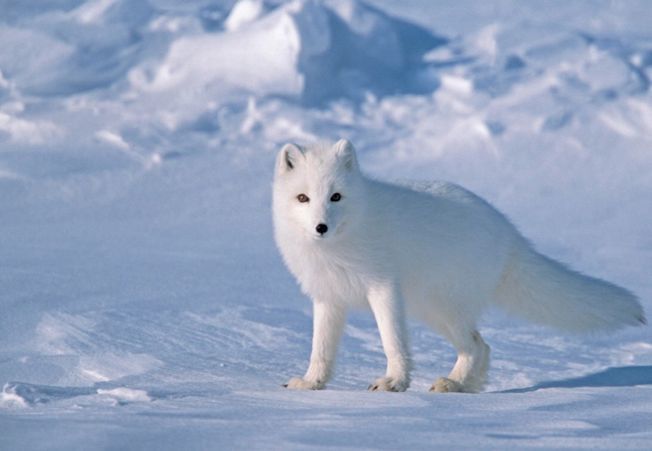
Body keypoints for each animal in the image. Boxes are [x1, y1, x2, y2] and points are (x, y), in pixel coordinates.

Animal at [272, 140, 644, 392]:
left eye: (336, 196)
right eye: (303, 198)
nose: (321, 227)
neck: (340, 244)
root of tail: (509, 232)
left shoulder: (383, 288)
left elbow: (392, 341)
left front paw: (394, 382)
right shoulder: (328, 297)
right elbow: (321, 349)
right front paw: (311, 383)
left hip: (442, 307)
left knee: (478, 345)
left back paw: (454, 384)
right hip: (432, 310)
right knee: (483, 346)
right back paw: (464, 386)